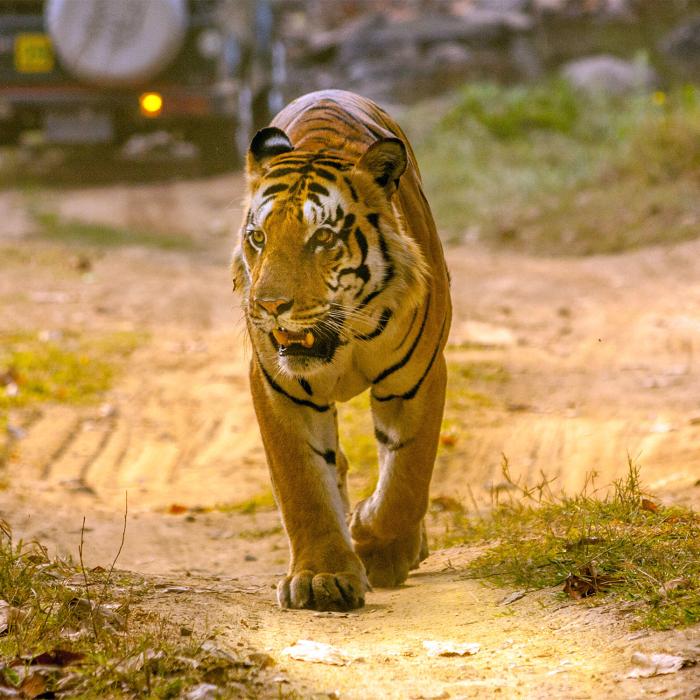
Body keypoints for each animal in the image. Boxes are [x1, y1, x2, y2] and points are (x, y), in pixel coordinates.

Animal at [232, 89, 452, 611]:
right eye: (258, 238)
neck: (343, 338)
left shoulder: (417, 379)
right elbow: (302, 485)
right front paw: (322, 577)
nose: (268, 306)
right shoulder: (278, 388)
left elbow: (407, 480)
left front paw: (379, 546)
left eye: (323, 238)